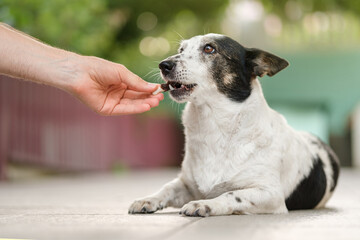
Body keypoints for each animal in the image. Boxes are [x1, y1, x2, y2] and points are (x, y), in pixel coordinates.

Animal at [129, 33, 340, 216]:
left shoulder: (270, 194)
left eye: (209, 48)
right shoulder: (187, 185)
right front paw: (148, 199)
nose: (164, 65)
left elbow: (231, 194)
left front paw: (204, 204)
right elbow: (167, 188)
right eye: (181, 49)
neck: (214, 126)